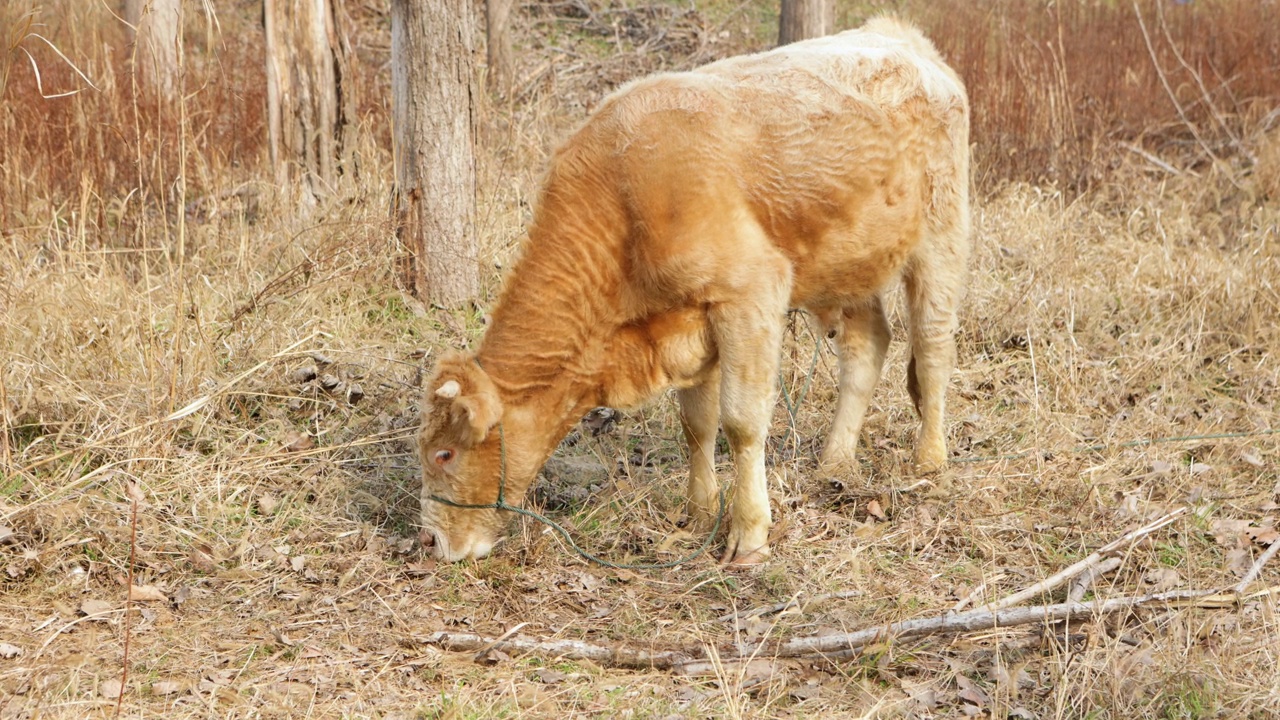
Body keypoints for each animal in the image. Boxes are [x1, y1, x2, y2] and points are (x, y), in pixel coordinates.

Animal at [419, 16, 967, 563]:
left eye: (445, 452)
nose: (431, 541)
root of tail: (900, 35)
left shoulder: (749, 293)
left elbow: (742, 423)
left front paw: (748, 535)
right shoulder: (689, 321)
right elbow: (697, 424)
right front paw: (700, 513)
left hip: (941, 240)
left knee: (933, 351)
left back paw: (929, 461)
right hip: (846, 266)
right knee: (866, 345)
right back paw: (834, 462)